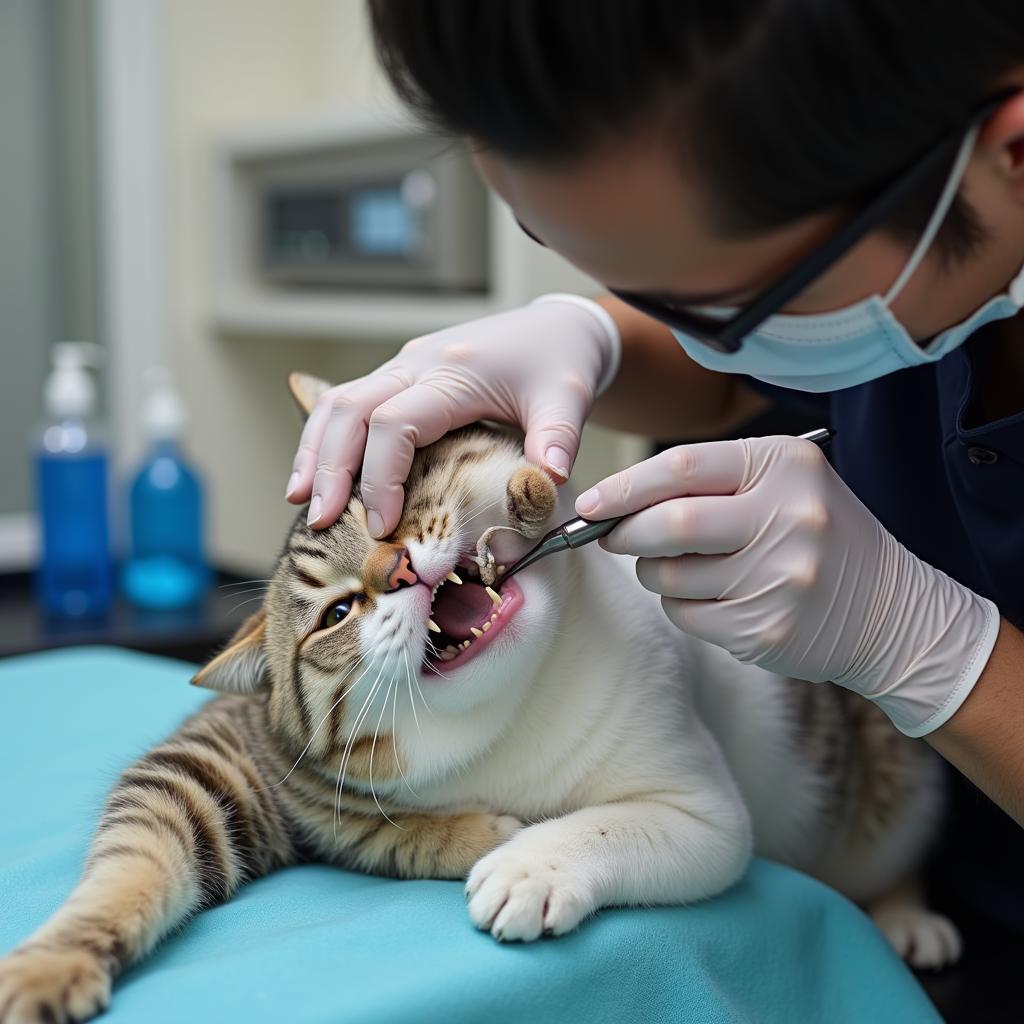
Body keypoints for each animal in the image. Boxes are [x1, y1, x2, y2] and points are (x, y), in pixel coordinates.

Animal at [0, 370, 958, 1024]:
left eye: (385, 505)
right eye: (337, 613)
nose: (397, 569)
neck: (510, 714)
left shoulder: (703, 814)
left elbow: (610, 825)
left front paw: (533, 864)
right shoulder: (238, 764)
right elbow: (307, 837)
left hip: (896, 780)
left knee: (893, 846)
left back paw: (908, 915)